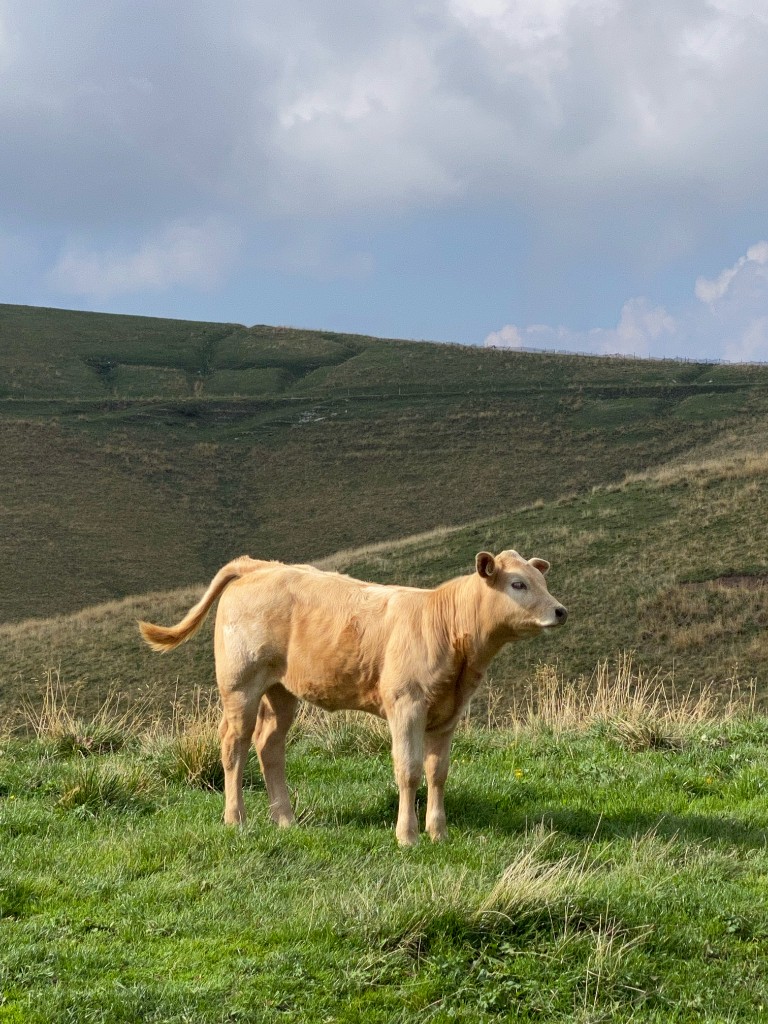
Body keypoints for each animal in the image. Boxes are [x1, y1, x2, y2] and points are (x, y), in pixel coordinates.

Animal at [139, 550, 567, 845]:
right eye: (517, 584)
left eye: (542, 581)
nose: (560, 611)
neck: (447, 627)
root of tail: (260, 566)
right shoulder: (406, 704)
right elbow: (409, 769)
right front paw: (408, 836)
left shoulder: (449, 712)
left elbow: (438, 772)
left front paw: (439, 833)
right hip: (240, 684)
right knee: (234, 745)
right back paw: (236, 819)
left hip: (282, 690)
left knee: (269, 745)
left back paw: (285, 819)